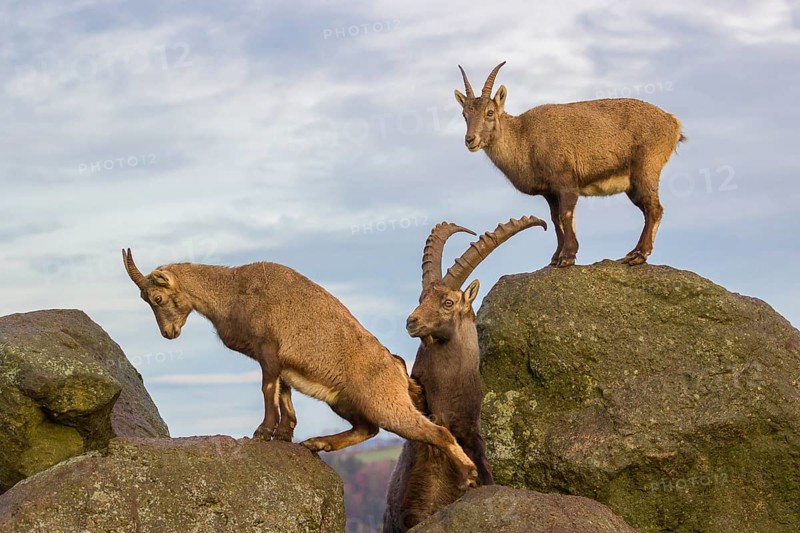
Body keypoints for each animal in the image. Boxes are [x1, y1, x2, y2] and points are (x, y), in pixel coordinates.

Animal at [122, 250, 478, 489]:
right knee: (367, 429)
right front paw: (285, 433)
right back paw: (317, 443)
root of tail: (397, 369)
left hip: (386, 405)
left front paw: (263, 432)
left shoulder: (268, 349)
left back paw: (469, 476)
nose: (168, 333)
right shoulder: (280, 361)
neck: (234, 291)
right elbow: (285, 392)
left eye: (157, 297)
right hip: (342, 402)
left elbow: (268, 388)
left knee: (436, 432)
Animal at [455, 62, 685, 267]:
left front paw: (567, 257)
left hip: (646, 169)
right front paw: (555, 257)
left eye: (490, 112)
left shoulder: (566, 181)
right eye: (465, 115)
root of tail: (672, 122)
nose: (470, 139)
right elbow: (556, 220)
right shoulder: (550, 192)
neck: (524, 138)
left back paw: (638, 255)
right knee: (648, 209)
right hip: (633, 185)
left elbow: (566, 216)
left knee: (655, 209)